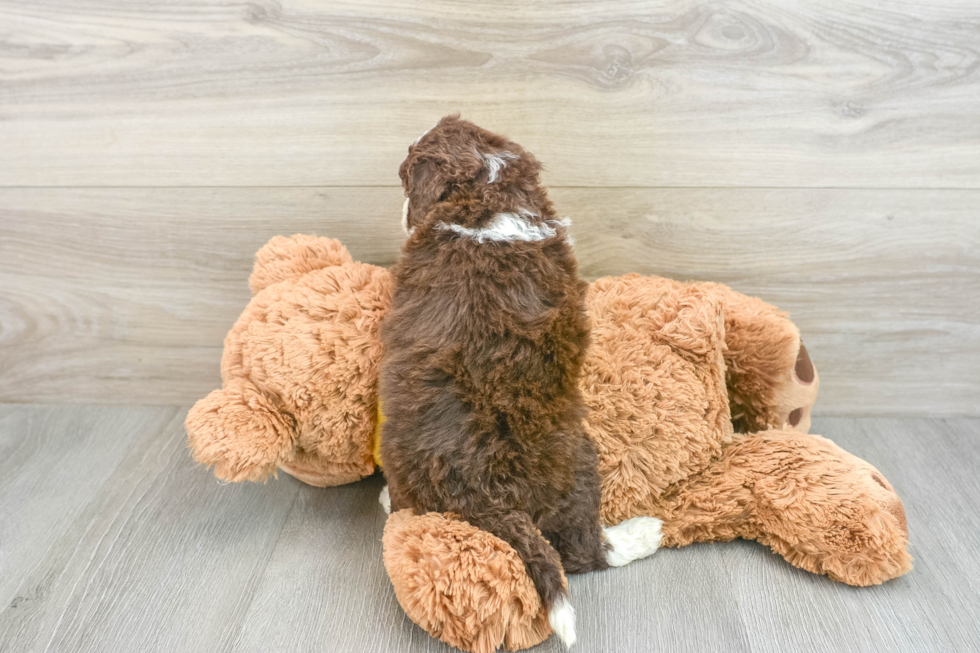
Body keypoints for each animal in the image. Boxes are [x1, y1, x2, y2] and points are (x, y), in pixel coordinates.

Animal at [378, 114, 664, 644]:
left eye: (405, 177)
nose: (404, 209)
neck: (489, 196)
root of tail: (486, 493)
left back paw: (388, 499)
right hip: (582, 458)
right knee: (584, 551)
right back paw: (642, 533)